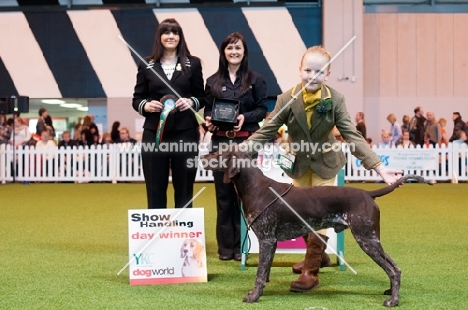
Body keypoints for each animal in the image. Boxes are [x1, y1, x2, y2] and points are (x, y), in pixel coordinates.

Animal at [201, 149, 428, 306]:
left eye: (219, 152)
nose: (201, 156)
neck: (255, 188)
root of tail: (368, 194)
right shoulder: (271, 243)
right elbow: (264, 273)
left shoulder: (266, 240)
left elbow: (259, 275)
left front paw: (254, 296)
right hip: (372, 239)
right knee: (395, 267)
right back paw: (391, 292)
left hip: (367, 239)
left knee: (393, 269)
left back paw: (393, 301)